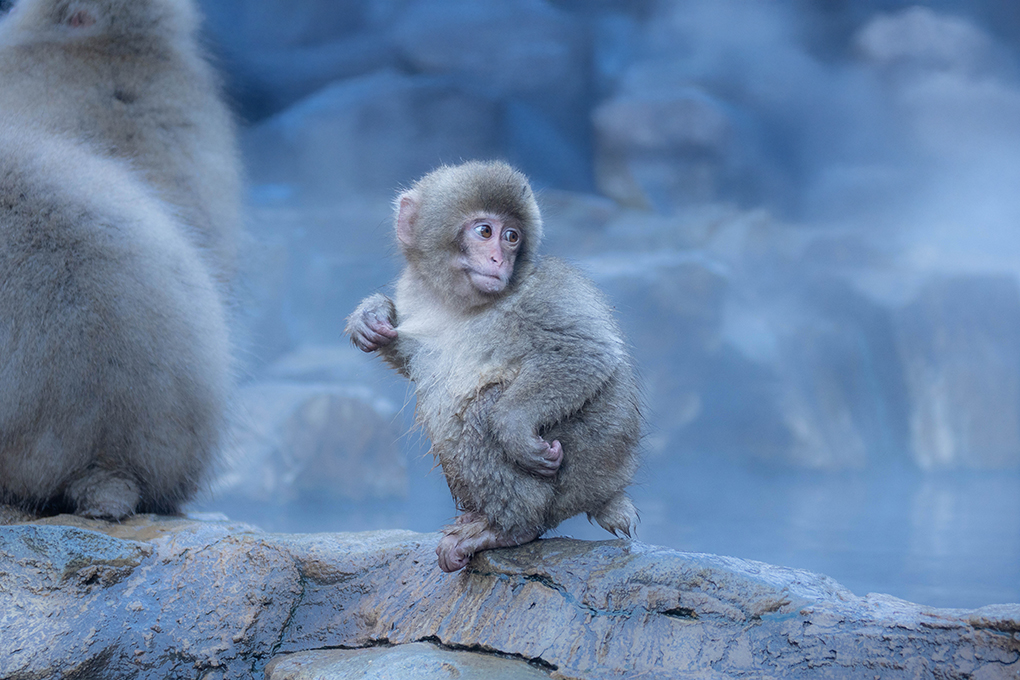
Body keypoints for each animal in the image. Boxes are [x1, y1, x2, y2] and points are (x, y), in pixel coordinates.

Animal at [347, 161, 641, 573]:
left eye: (512, 237)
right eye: (485, 231)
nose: (499, 259)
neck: (459, 303)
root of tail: (611, 486)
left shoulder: (543, 293)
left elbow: (584, 353)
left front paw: (515, 429)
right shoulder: (415, 296)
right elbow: (409, 356)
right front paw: (371, 316)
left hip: (588, 462)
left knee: (478, 411)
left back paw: (510, 528)